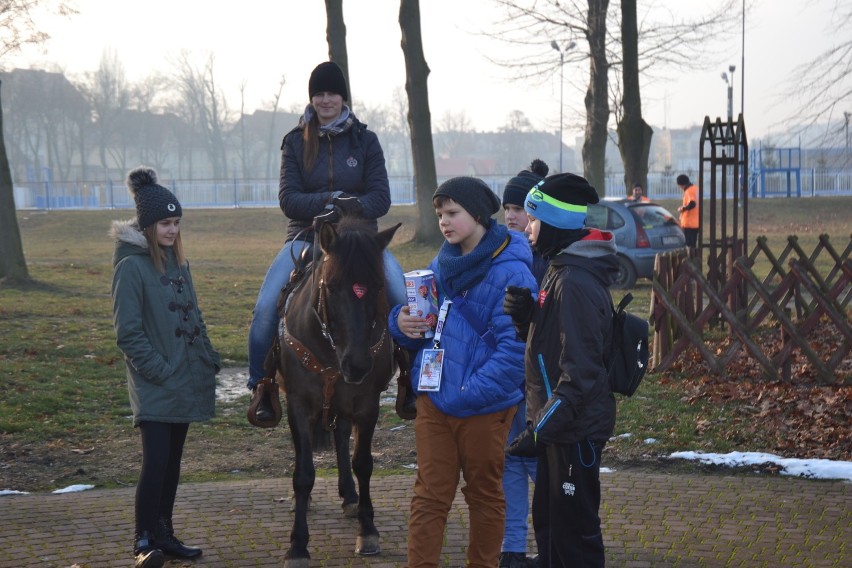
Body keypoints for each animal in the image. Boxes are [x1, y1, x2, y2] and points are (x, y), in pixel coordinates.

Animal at [274, 217, 404, 568]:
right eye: (331, 286)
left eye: (378, 285)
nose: (357, 364)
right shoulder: (299, 406)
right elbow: (303, 473)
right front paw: (297, 546)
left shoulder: (367, 404)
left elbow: (363, 463)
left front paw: (367, 530)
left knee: (342, 437)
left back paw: (350, 496)